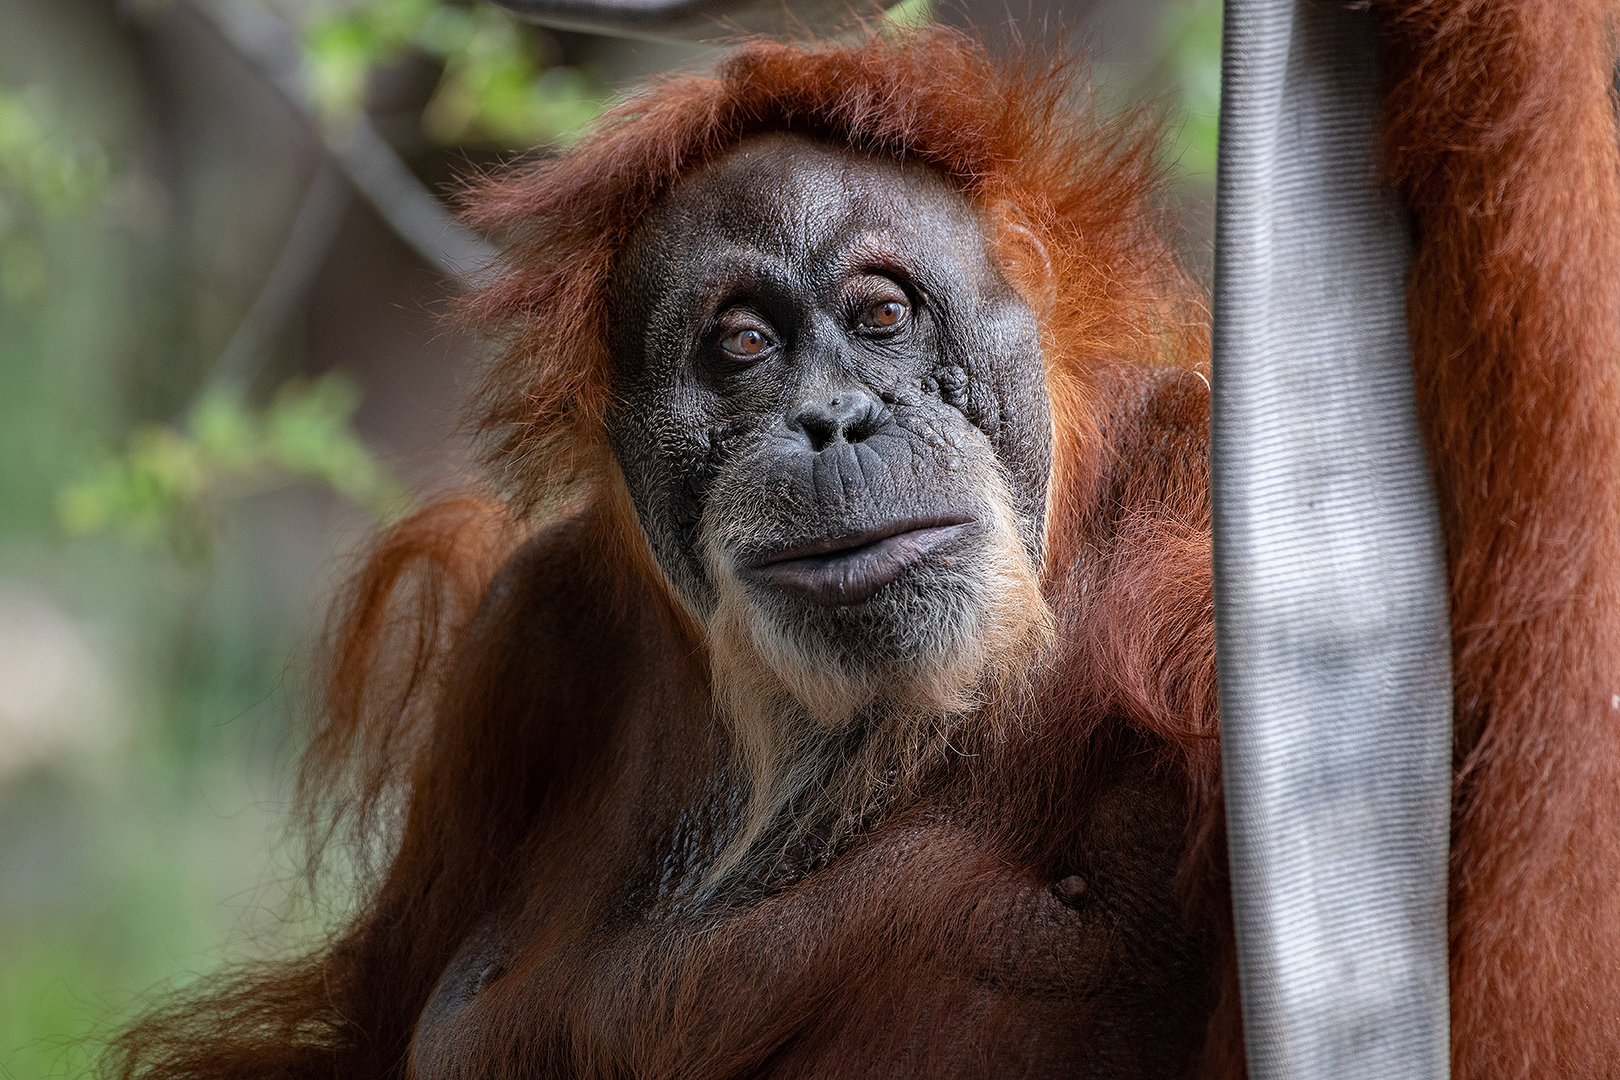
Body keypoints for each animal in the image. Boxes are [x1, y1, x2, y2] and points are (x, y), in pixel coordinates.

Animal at [110, 6, 1620, 1078]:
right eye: (741, 346)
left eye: (884, 316)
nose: (833, 418)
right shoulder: (524, 639)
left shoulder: (1198, 518)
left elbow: (1489, 938)